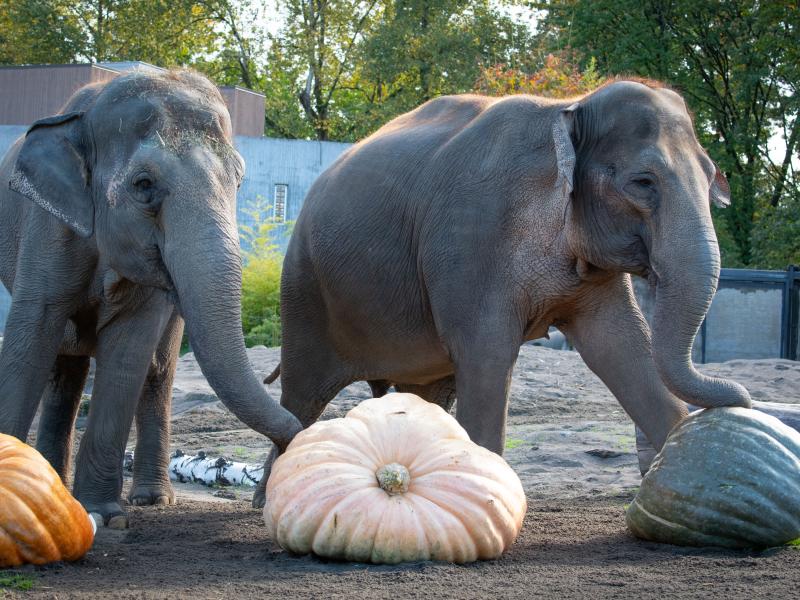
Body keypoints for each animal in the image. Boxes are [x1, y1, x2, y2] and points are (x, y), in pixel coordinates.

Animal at [0, 69, 302, 524]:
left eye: (238, 179)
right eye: (144, 185)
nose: (299, 437)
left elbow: (129, 352)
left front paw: (106, 515)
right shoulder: (48, 225)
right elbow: (31, 337)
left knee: (155, 372)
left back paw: (150, 499)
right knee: (65, 367)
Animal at [250, 77, 752, 508]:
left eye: (710, 177)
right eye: (643, 182)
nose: (745, 398)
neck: (568, 108)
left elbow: (621, 345)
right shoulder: (471, 240)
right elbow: (488, 356)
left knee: (423, 396)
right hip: (305, 293)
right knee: (302, 397)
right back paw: (267, 500)